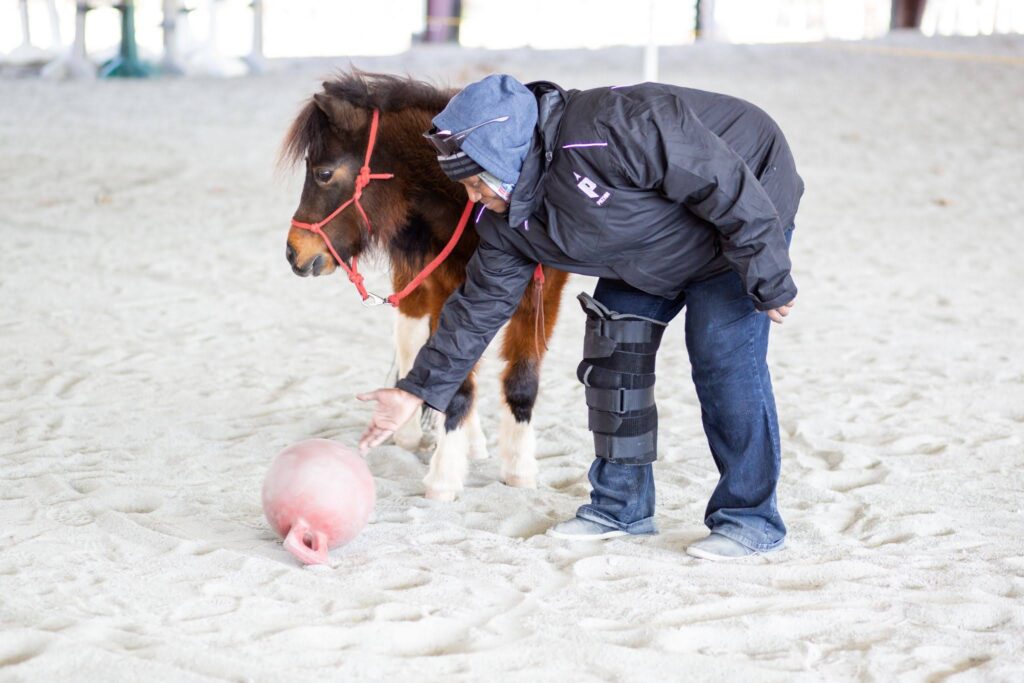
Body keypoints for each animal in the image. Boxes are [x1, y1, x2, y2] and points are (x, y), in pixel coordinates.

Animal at [280, 71, 569, 502]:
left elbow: (521, 380)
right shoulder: (448, 289)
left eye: (324, 173)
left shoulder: (543, 294)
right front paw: (444, 476)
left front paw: (519, 470)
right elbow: (454, 378)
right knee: (410, 342)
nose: (293, 252)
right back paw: (411, 435)